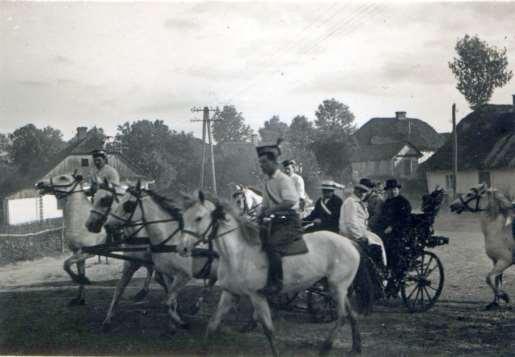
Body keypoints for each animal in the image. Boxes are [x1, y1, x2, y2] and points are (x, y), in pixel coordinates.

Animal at [35, 172, 155, 306]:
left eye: (63, 178)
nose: (40, 184)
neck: (79, 220)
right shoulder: (77, 252)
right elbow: (77, 269)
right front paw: (80, 298)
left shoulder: (88, 252)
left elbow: (66, 264)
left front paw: (83, 280)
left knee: (150, 266)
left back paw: (143, 292)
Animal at [178, 191, 374, 354]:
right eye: (185, 217)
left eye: (199, 218)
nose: (182, 248)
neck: (239, 253)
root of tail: (350, 242)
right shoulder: (230, 293)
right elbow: (212, 323)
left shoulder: (257, 296)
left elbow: (269, 330)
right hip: (335, 287)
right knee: (352, 315)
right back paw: (356, 347)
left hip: (337, 287)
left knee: (341, 317)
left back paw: (326, 347)